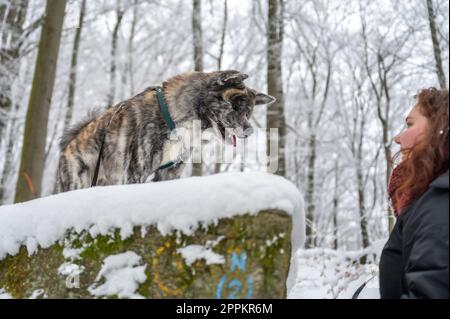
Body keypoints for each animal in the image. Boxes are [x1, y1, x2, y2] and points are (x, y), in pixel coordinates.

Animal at [55, 71, 274, 194]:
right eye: (234, 106)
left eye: (247, 113)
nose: (250, 130)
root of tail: (68, 146)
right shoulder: (135, 173)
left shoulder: (169, 172)